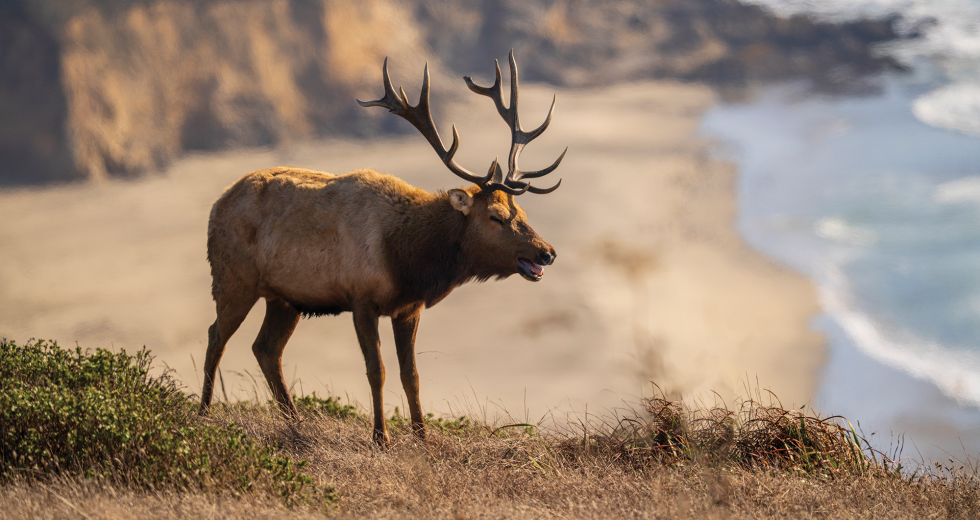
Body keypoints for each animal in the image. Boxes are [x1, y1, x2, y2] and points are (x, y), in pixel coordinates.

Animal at [198, 51, 565, 447]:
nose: (547, 252)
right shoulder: (361, 299)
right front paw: (380, 437)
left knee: (266, 348)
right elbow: (378, 370)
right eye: (496, 216)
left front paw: (422, 435)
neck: (407, 260)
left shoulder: (408, 309)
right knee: (216, 337)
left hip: (285, 298)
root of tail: (217, 204)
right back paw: (203, 413)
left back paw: (294, 421)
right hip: (233, 279)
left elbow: (411, 374)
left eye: (522, 212)